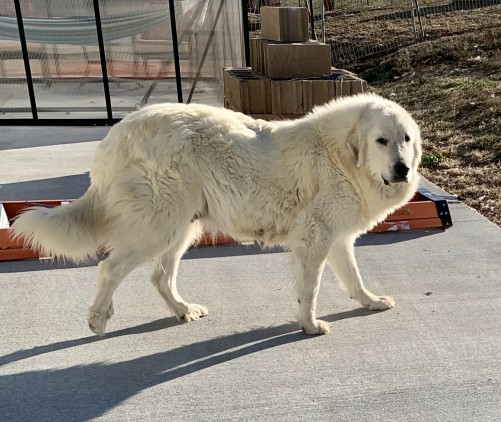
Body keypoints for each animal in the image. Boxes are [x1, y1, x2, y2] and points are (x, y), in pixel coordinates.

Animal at [12, 93, 422, 336]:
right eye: (381, 141)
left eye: (406, 139)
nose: (403, 169)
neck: (341, 155)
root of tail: (116, 134)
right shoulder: (315, 238)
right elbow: (310, 289)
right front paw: (308, 325)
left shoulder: (336, 239)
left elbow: (354, 279)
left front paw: (371, 302)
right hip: (159, 228)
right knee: (109, 268)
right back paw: (98, 319)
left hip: (180, 229)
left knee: (160, 277)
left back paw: (182, 310)